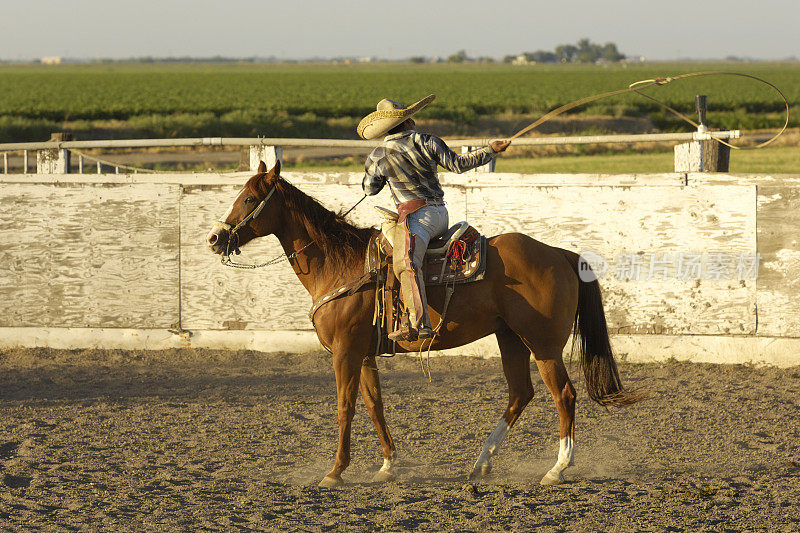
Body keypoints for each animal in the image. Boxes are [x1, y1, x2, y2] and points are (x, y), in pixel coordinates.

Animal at [206, 161, 644, 486]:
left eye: (249, 198)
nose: (214, 238)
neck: (341, 264)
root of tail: (559, 253)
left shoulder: (345, 352)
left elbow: (345, 405)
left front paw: (335, 472)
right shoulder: (365, 354)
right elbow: (374, 404)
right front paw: (387, 465)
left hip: (544, 344)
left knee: (564, 395)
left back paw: (557, 468)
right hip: (510, 338)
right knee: (520, 394)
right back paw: (482, 462)